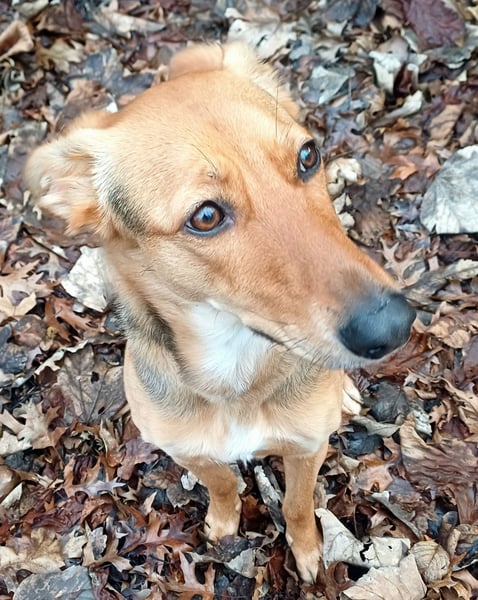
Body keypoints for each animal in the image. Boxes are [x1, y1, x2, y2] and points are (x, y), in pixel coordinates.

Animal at [24, 42, 415, 583]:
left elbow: (296, 506)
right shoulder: (187, 449)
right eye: (206, 216)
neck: (235, 369)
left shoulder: (307, 447)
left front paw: (308, 553)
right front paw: (224, 522)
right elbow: (223, 483)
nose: (393, 325)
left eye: (308, 156)